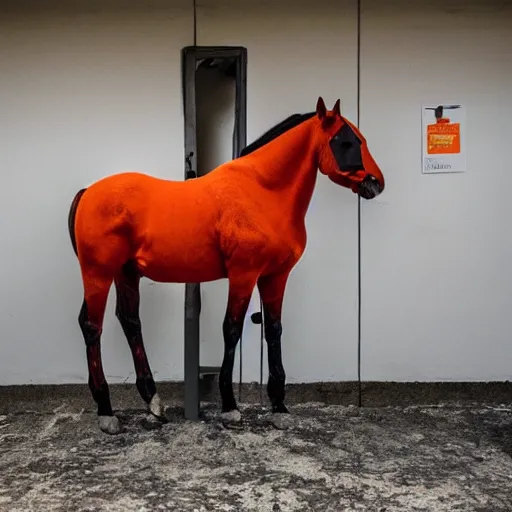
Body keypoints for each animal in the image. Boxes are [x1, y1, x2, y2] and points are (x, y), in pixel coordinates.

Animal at [67, 96, 384, 432]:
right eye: (346, 141)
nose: (376, 184)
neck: (262, 191)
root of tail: (87, 193)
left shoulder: (275, 276)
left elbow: (273, 329)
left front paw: (279, 407)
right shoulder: (243, 274)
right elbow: (231, 329)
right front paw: (230, 406)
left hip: (126, 273)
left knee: (129, 321)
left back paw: (153, 403)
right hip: (98, 273)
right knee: (91, 326)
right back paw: (106, 411)